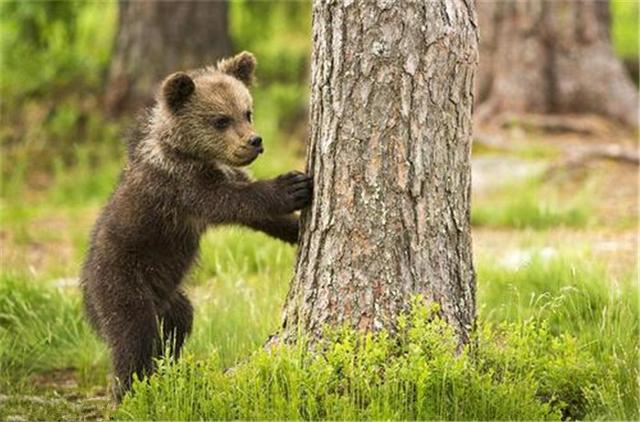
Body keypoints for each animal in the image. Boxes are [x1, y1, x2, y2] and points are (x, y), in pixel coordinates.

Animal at [80, 51, 312, 401]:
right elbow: (234, 201)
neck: (191, 154)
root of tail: (86, 291)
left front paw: (295, 229)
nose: (255, 141)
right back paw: (133, 391)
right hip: (122, 282)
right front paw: (292, 186)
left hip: (168, 295)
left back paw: (168, 371)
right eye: (221, 120)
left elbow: (261, 218)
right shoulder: (183, 188)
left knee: (179, 320)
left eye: (247, 111)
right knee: (132, 336)